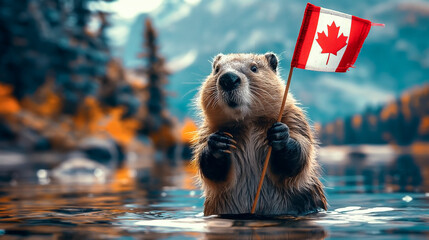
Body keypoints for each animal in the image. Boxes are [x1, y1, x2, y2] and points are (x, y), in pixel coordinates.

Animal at [192, 52, 326, 216]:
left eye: (254, 68)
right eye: (216, 69)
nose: (228, 79)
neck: (248, 124)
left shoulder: (294, 118)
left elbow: (299, 157)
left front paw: (279, 135)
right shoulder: (207, 128)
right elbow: (211, 170)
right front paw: (219, 143)